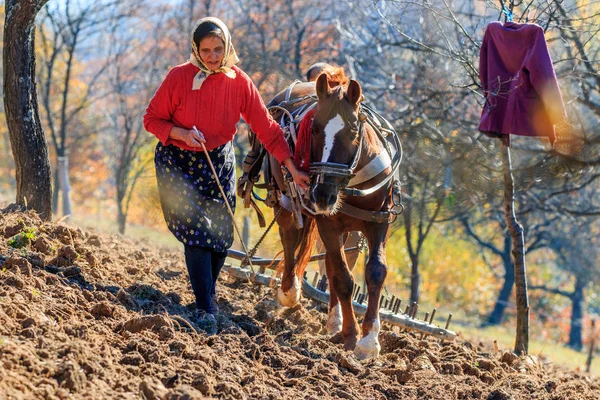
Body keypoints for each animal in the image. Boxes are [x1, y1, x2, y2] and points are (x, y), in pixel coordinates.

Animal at [268, 72, 404, 360]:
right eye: (315, 129)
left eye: (352, 131)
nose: (322, 195)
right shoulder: (328, 223)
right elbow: (343, 278)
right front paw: (352, 336)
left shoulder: (378, 223)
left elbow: (375, 272)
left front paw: (369, 340)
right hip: (286, 202)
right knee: (290, 240)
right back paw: (289, 291)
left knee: (330, 264)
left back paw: (333, 321)